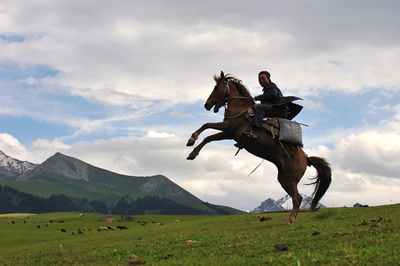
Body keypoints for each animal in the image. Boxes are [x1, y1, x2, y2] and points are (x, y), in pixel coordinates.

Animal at [188, 71, 332, 223]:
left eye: (216, 87)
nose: (206, 104)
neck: (240, 108)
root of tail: (306, 159)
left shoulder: (228, 128)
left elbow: (206, 126)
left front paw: (192, 141)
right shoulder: (228, 133)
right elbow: (208, 136)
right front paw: (192, 151)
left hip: (290, 179)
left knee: (297, 198)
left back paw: (290, 220)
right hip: (283, 179)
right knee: (295, 197)